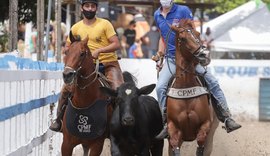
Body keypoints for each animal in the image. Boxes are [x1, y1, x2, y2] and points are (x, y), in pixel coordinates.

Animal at [167, 19, 219, 156]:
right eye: (182, 38)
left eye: (198, 34)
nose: (205, 54)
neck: (185, 86)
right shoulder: (173, 128)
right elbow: (175, 146)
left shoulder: (205, 125)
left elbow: (200, 143)